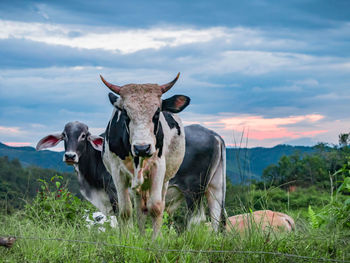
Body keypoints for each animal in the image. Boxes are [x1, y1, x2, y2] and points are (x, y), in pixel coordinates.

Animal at [100, 73, 190, 238]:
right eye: (125, 113)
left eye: (157, 112)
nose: (142, 147)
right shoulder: (117, 171)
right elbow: (125, 210)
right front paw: (127, 239)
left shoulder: (158, 167)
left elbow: (156, 207)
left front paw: (155, 239)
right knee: (140, 209)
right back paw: (141, 236)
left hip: (165, 180)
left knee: (157, 205)